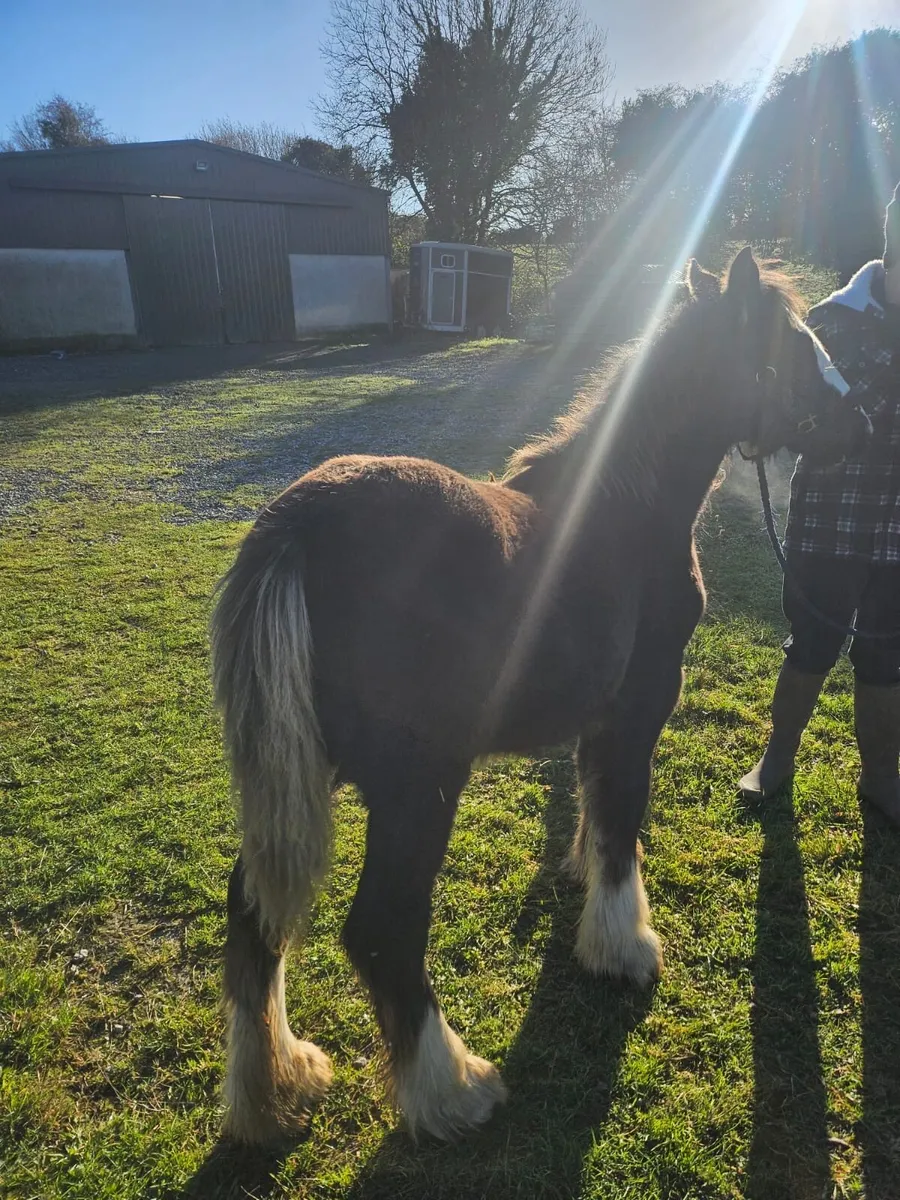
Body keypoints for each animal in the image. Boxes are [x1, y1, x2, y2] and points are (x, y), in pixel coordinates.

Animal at [210, 248, 865, 1145]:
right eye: (794, 347)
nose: (860, 422)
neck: (629, 508)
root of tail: (298, 527)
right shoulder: (639, 711)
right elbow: (621, 822)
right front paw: (625, 949)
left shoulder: (596, 721)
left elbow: (595, 811)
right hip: (417, 788)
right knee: (382, 928)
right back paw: (453, 1090)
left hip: (306, 774)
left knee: (254, 917)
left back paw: (274, 1084)